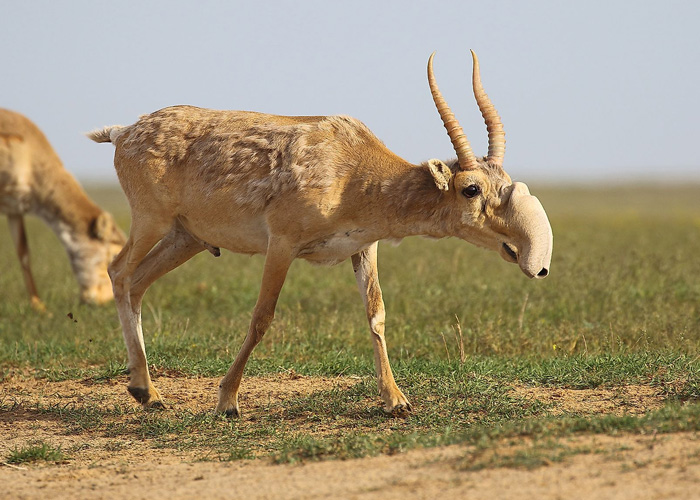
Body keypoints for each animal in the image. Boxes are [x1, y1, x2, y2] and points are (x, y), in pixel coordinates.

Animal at [88, 50, 552, 416]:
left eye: (504, 181)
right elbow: (262, 316)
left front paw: (397, 400)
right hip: (151, 221)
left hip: (186, 239)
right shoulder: (282, 244)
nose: (528, 255)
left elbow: (376, 314)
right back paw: (145, 388)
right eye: (471, 188)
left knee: (138, 283)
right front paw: (227, 401)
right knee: (119, 273)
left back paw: (148, 392)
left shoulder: (365, 248)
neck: (353, 170)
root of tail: (124, 132)